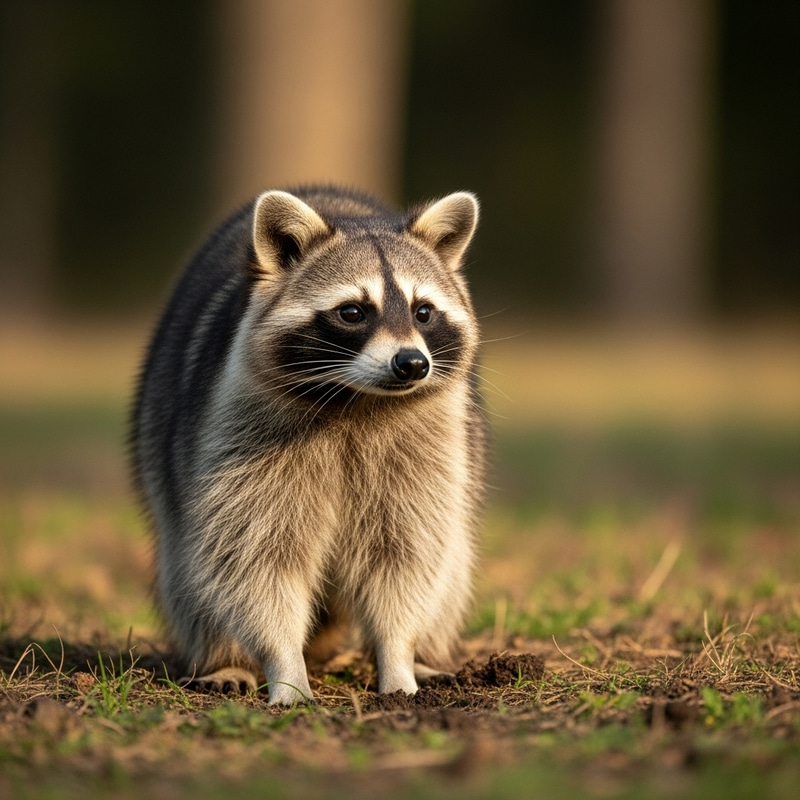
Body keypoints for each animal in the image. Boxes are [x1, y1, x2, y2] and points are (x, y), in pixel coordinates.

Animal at [131, 185, 485, 705]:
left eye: (423, 311)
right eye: (352, 312)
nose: (412, 364)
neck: (357, 398)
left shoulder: (429, 443)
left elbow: (405, 555)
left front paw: (398, 656)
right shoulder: (238, 431)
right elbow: (254, 559)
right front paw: (285, 666)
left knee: (450, 566)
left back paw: (428, 654)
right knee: (192, 571)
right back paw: (221, 658)